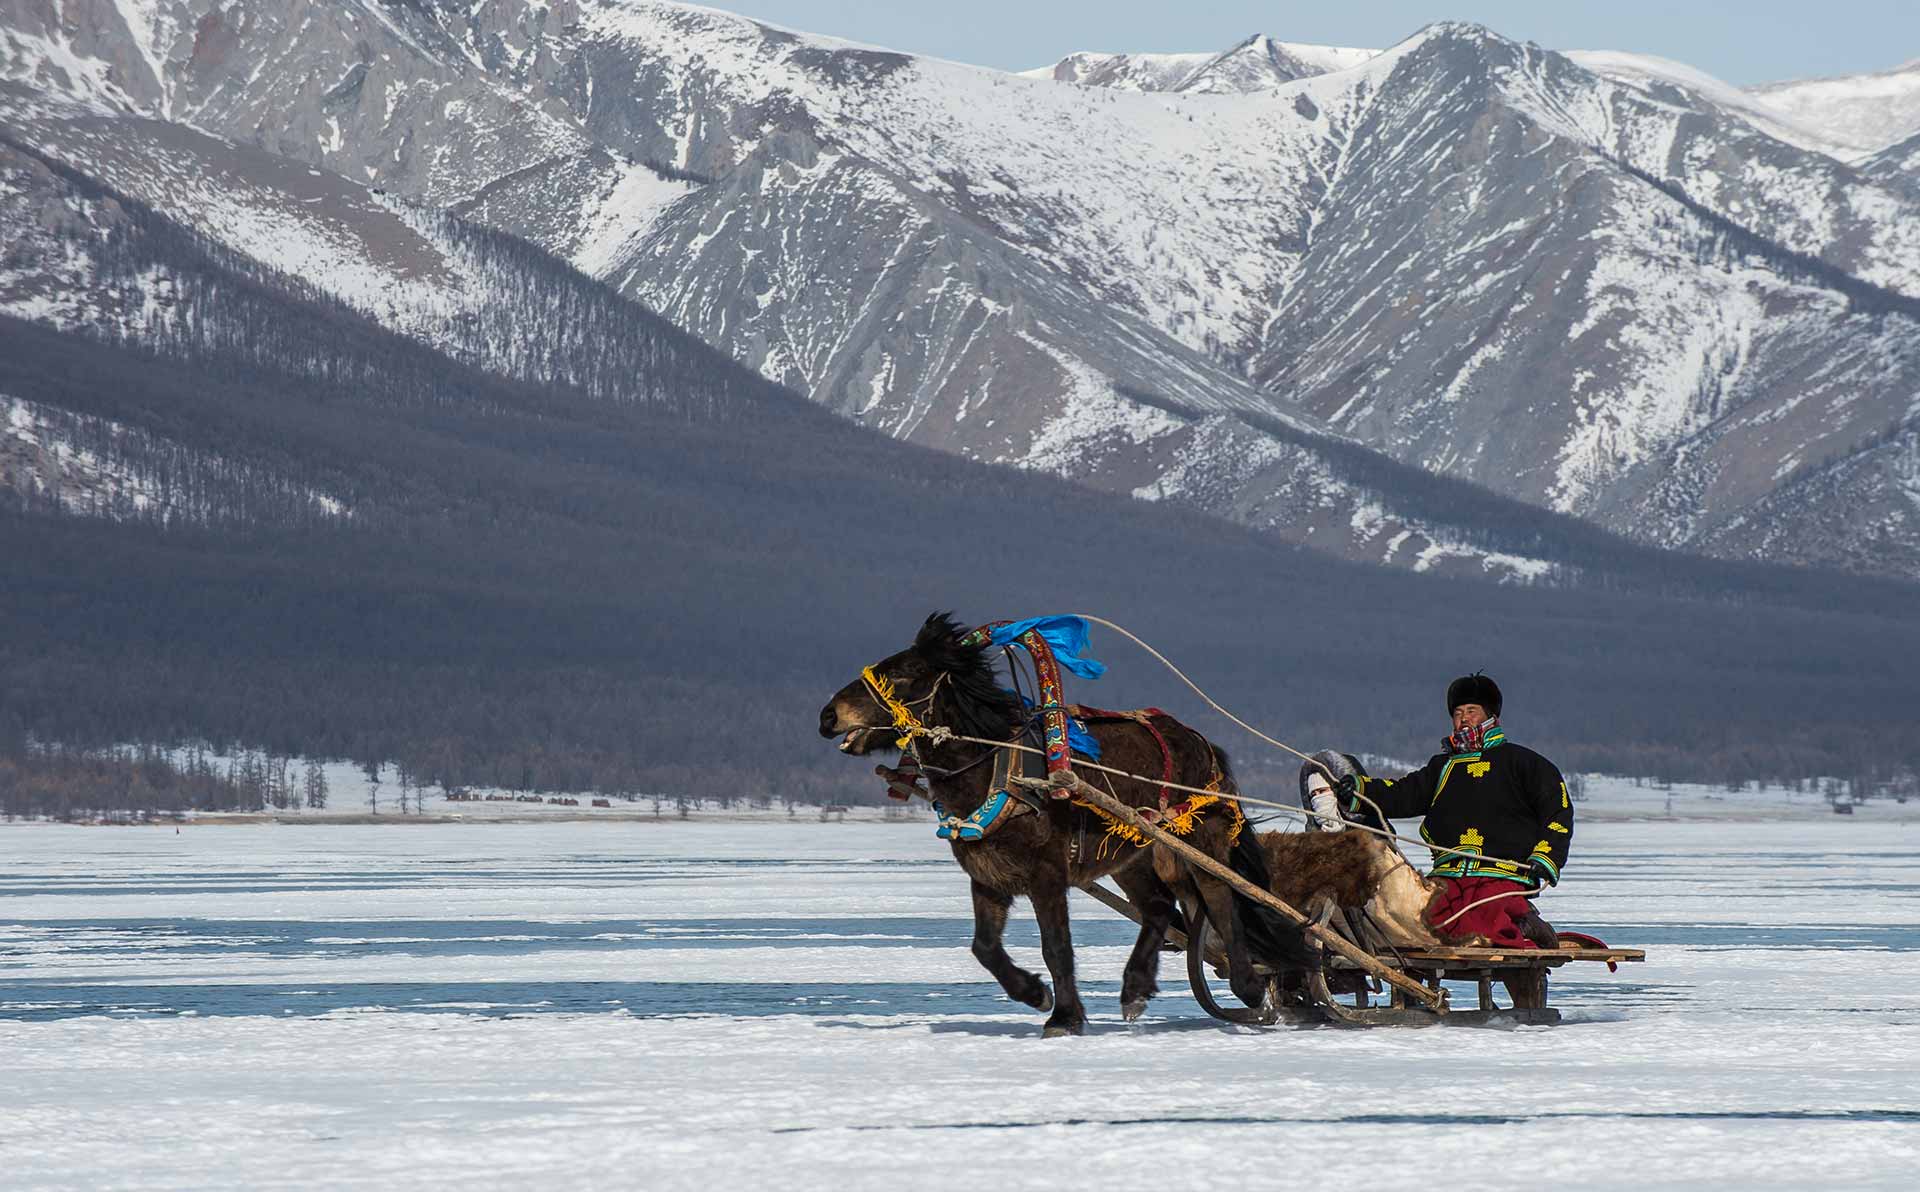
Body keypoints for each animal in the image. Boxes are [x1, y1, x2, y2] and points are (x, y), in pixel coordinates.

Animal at [817, 614, 1297, 1028]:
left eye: (907, 672)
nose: (828, 716)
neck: (997, 769)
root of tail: (1201, 742)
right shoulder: (987, 874)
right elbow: (984, 947)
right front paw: (1034, 993)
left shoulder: (1047, 874)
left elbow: (1056, 946)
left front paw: (1064, 1017)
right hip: (1133, 855)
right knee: (1160, 906)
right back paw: (1135, 989)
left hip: (1199, 836)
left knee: (1220, 896)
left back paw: (1249, 986)